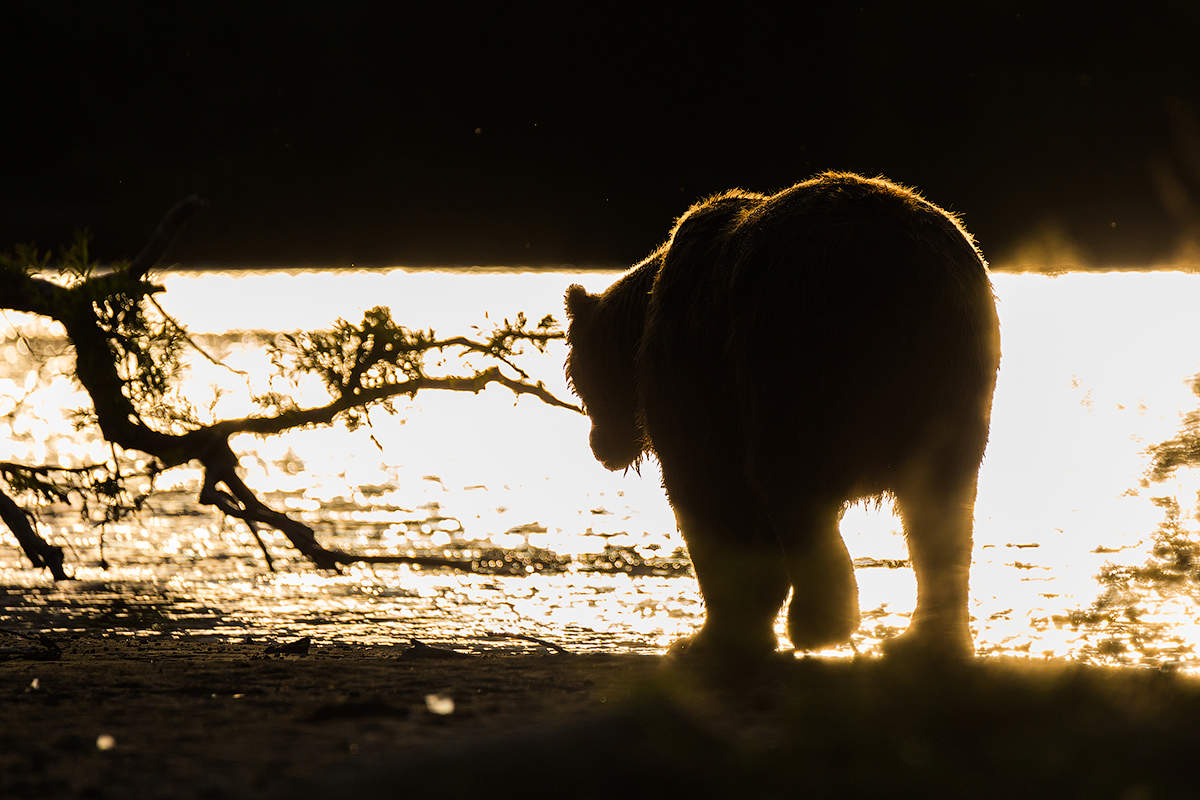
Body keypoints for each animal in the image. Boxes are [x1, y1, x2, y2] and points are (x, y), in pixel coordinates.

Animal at [566, 172, 998, 662]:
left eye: (581, 383)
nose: (600, 448)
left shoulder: (696, 380)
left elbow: (708, 495)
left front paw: (716, 634)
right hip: (953, 379)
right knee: (942, 507)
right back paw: (925, 640)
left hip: (791, 348)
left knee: (792, 485)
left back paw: (819, 624)